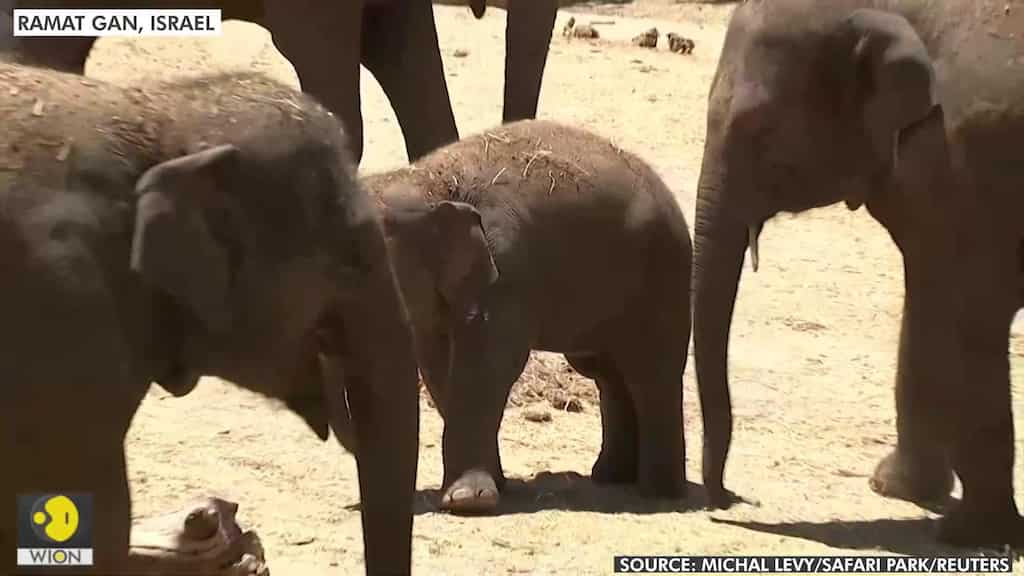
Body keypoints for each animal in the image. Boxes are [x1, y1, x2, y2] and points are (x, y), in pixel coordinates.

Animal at [363, 119, 693, 513]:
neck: (430, 179)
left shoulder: (506, 277)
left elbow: (486, 368)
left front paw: (467, 502)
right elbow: (438, 368)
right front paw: (496, 486)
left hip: (663, 276)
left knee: (649, 372)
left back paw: (658, 492)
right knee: (607, 373)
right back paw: (611, 477)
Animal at [692, 0, 1024, 547]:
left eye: (761, 130)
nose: (727, 497)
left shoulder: (967, 157)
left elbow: (971, 316)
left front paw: (969, 533)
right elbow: (929, 295)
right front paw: (894, 487)